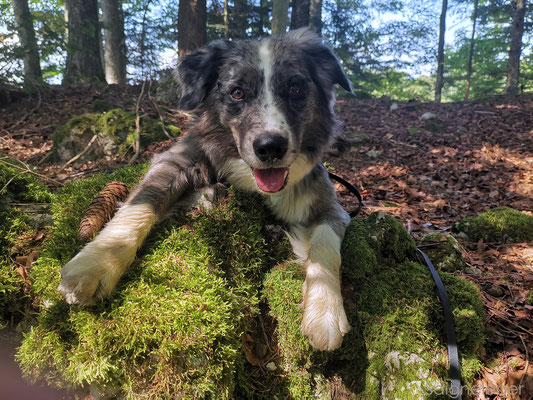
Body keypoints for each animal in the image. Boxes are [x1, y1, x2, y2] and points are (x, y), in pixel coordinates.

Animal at [58, 28, 354, 350]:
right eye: (237, 92)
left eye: (296, 88)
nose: (270, 147)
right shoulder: (175, 159)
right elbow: (142, 203)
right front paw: (96, 264)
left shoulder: (330, 206)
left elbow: (325, 248)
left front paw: (325, 312)